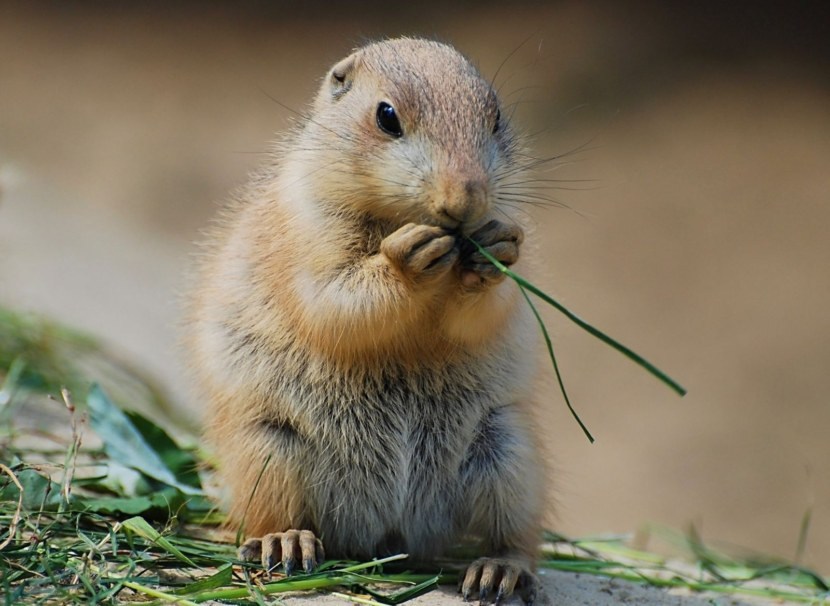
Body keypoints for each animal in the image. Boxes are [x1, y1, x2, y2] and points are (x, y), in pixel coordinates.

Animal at [189, 39, 552, 606]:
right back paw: (285, 543)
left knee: (514, 535)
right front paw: (407, 256)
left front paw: (495, 247)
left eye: (495, 119)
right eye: (386, 117)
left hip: (510, 453)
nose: (466, 199)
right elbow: (333, 298)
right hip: (265, 448)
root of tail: (386, 536)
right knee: (270, 515)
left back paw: (499, 571)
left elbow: (486, 312)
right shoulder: (309, 232)